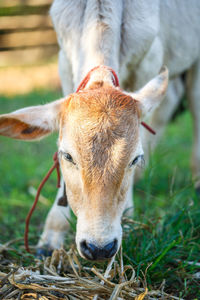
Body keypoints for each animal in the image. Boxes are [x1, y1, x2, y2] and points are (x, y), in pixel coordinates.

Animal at [0, 0, 200, 258]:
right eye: (67, 156)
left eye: (135, 158)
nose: (99, 248)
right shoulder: (64, 61)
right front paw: (51, 237)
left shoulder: (149, 60)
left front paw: (128, 217)